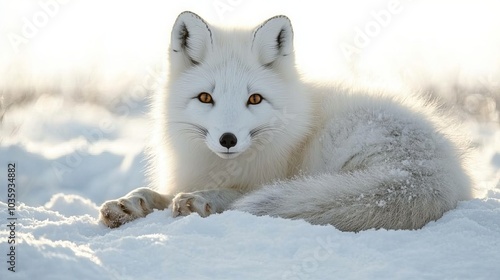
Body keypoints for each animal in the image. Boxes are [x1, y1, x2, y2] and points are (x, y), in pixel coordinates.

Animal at [98, 10, 472, 231]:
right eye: (205, 98)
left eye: (254, 99)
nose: (228, 140)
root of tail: (439, 170)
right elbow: (154, 193)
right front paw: (129, 204)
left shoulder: (264, 175)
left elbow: (235, 193)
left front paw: (199, 200)